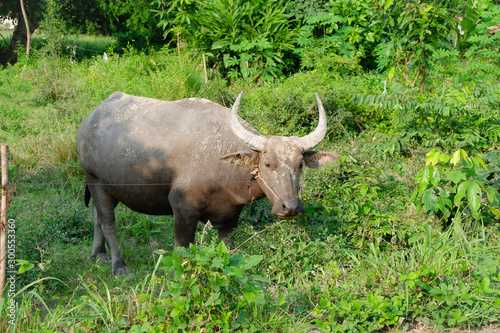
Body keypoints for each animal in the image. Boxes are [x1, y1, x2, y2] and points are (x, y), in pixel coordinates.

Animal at [76, 91, 338, 274]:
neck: (221, 163)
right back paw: (119, 265)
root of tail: (89, 121)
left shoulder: (229, 219)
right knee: (108, 222)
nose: (290, 207)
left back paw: (98, 254)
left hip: (109, 188)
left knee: (97, 217)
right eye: (267, 163)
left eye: (299, 164)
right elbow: (182, 253)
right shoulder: (182, 210)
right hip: (94, 179)